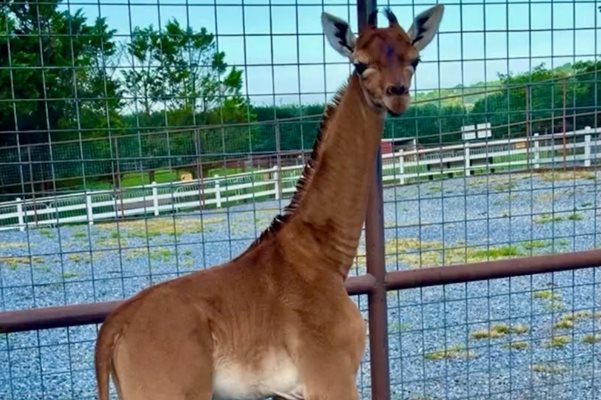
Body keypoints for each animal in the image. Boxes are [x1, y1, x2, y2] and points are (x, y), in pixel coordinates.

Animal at [92, 4, 440, 398]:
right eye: (359, 64)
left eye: (415, 59)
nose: (397, 94)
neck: (321, 256)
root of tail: (113, 329)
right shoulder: (331, 375)